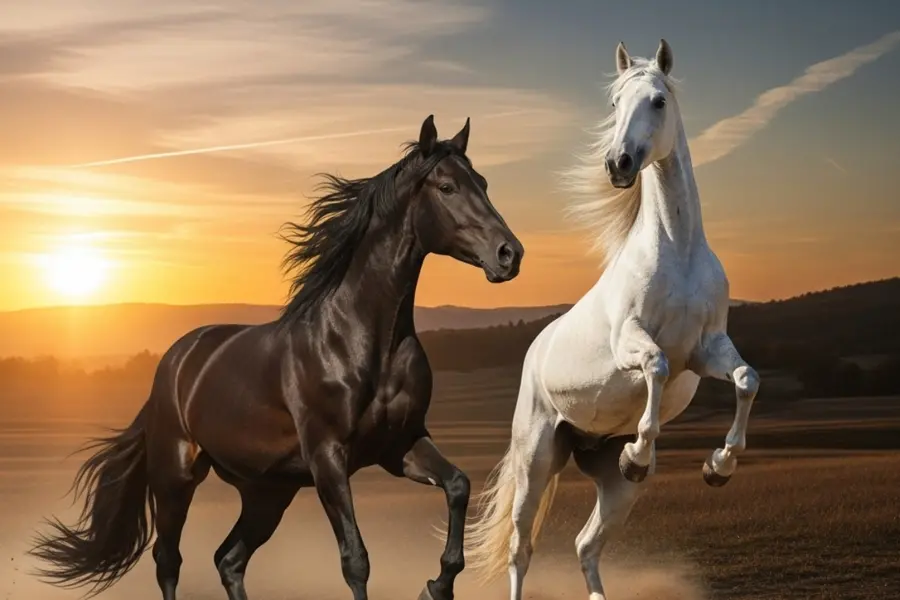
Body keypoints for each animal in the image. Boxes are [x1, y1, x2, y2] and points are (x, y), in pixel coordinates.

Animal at [29, 114, 525, 600]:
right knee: (168, 561)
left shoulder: (399, 446)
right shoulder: (328, 458)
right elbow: (356, 561)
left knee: (228, 560)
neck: (361, 341)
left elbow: (458, 485)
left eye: (483, 182)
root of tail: (172, 364)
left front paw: (437, 584)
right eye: (447, 187)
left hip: (267, 494)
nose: (510, 254)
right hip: (175, 477)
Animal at [461, 40, 761, 600]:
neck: (678, 251)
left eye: (658, 101)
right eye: (615, 103)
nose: (618, 163)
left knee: (585, 545)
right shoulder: (631, 344)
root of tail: (534, 352)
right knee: (520, 547)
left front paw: (719, 467)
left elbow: (746, 380)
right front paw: (641, 453)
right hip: (536, 461)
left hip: (614, 488)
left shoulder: (708, 348)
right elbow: (656, 366)